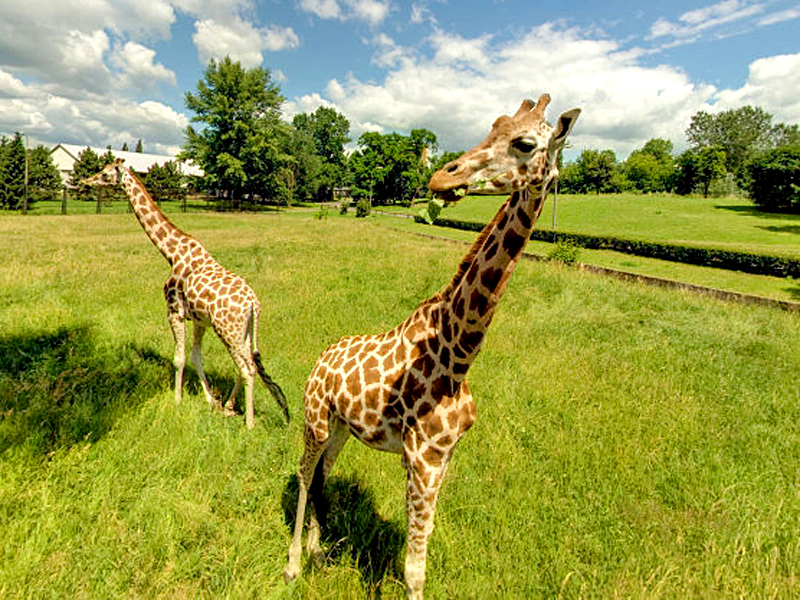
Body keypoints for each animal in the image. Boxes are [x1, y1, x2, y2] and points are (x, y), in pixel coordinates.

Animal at [83, 159, 290, 426]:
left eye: (106, 174)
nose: (86, 181)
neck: (171, 253)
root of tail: (254, 304)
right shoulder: (200, 320)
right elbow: (195, 357)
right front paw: (211, 400)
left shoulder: (174, 311)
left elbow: (179, 358)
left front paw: (177, 400)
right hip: (243, 331)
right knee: (248, 365)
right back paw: (229, 406)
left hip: (228, 331)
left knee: (247, 368)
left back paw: (249, 424)